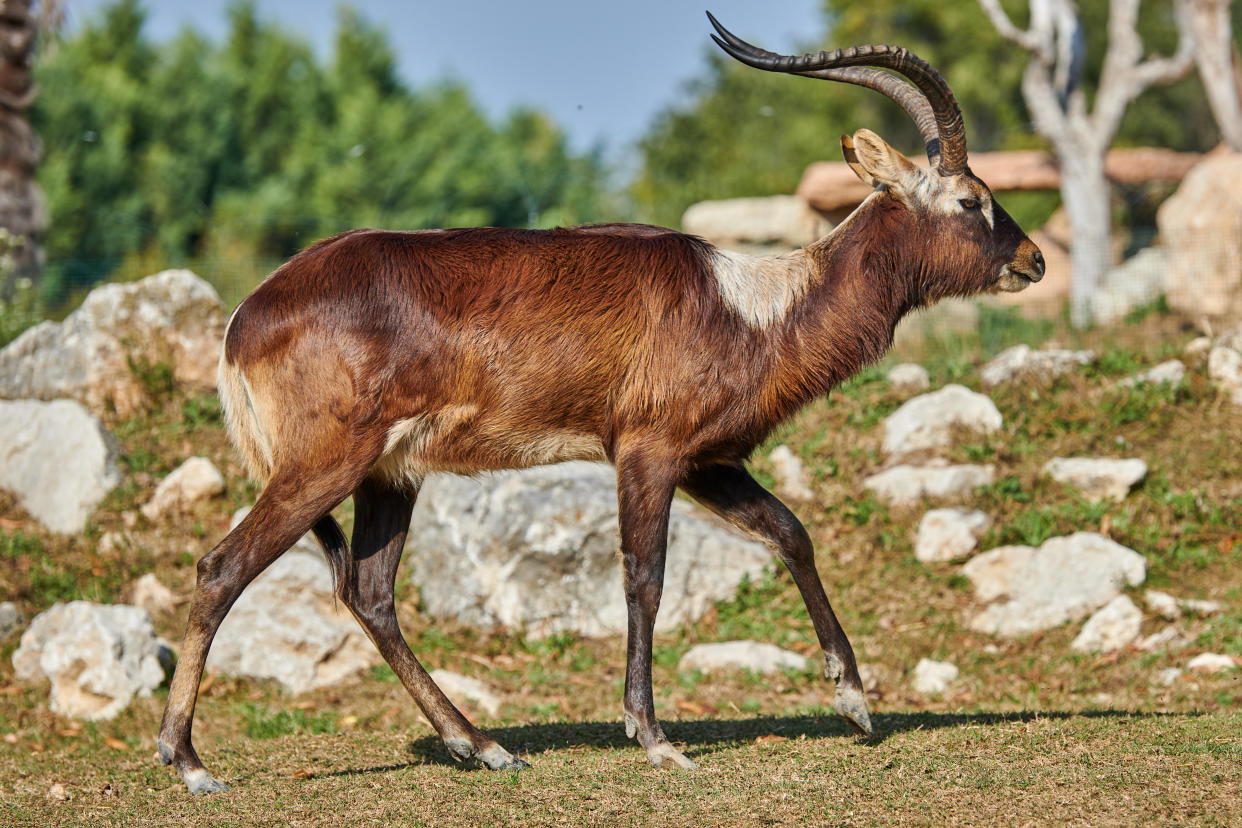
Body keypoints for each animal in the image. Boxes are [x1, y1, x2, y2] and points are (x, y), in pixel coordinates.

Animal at [157, 11, 1048, 789]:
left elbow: (791, 533)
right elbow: (644, 577)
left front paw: (855, 702)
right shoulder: (648, 453)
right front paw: (654, 737)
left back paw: (483, 747)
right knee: (222, 567)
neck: (749, 306)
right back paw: (189, 761)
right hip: (325, 466)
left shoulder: (707, 462)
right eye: (970, 199)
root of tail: (248, 315)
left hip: (388, 477)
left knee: (370, 594)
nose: (1034, 259)